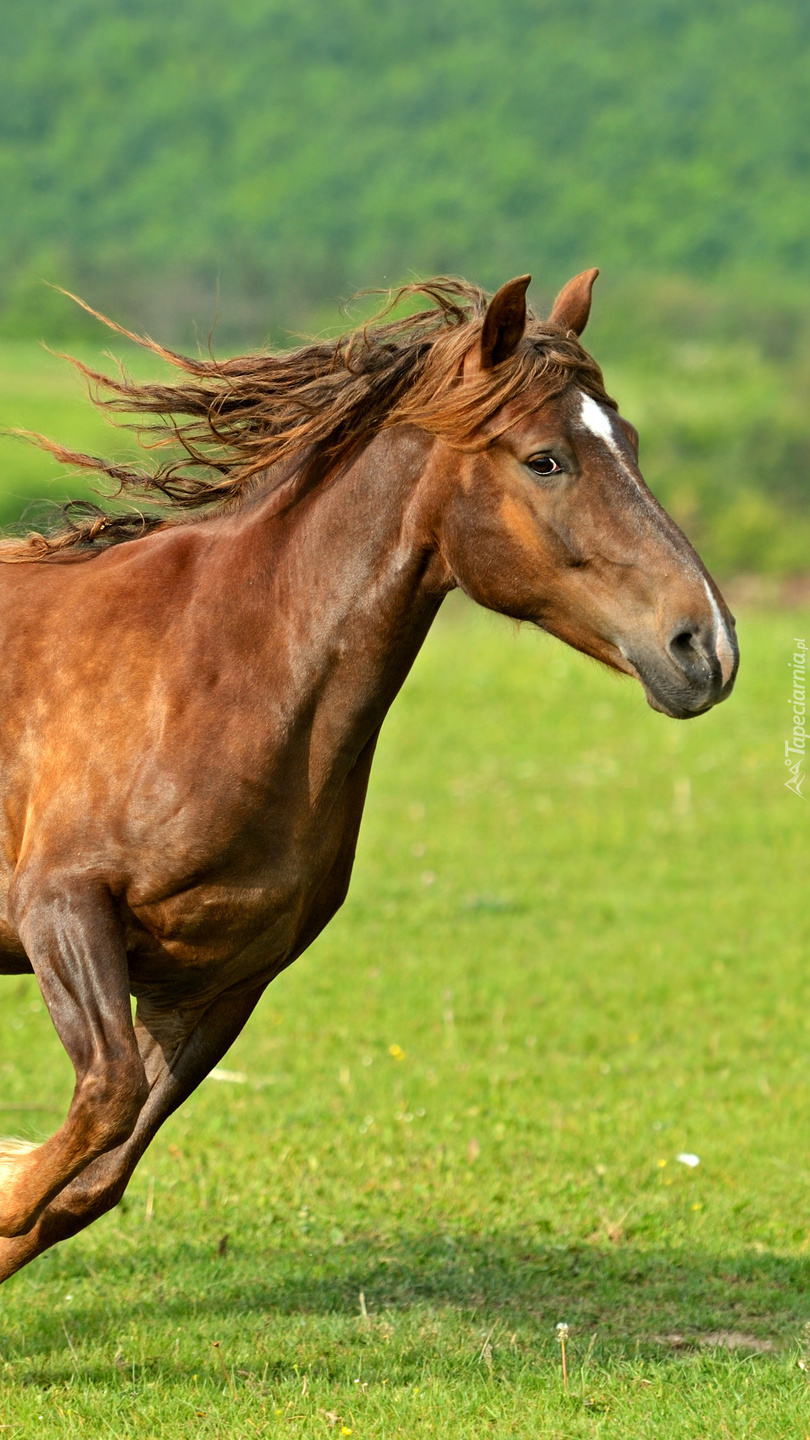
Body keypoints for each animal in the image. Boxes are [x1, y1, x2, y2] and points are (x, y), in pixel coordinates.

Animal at [0, 272, 735, 1284]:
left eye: (627, 442)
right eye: (546, 460)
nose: (707, 647)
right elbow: (100, 1105)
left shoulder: (221, 978)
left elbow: (93, 1176)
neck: (222, 665)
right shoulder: (61, 907)